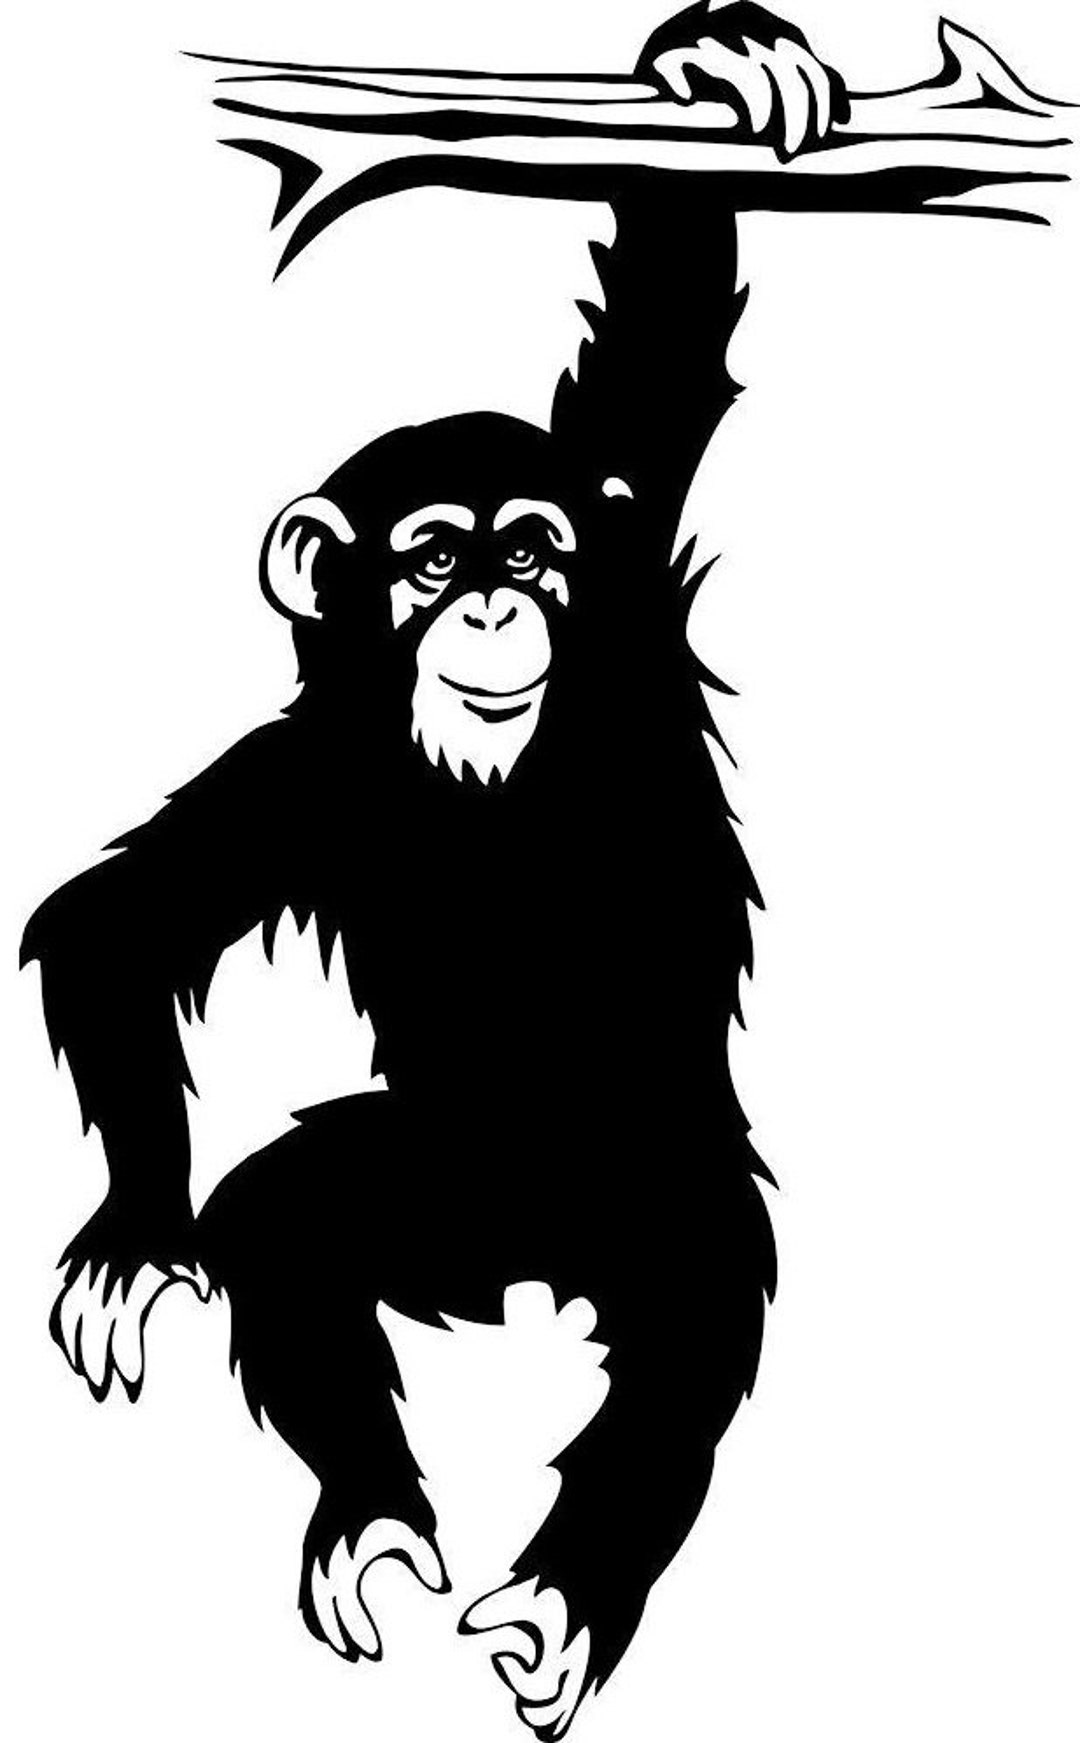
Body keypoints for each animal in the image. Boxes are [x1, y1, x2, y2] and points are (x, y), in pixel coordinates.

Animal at [21, 7, 847, 1737]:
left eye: (533, 546)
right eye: (430, 557)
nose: (490, 605)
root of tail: (530, 1267)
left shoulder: (635, 616)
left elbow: (663, 335)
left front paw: (720, 70)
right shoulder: (304, 771)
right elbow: (121, 923)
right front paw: (133, 1230)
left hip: (653, 1184)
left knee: (688, 1325)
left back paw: (562, 1590)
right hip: (430, 1188)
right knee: (284, 1224)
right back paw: (373, 1517)